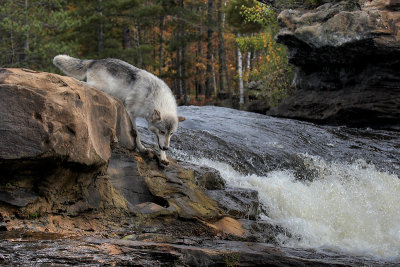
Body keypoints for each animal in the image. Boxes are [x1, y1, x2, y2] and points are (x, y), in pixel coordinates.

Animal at [53, 55, 184, 165]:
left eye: (171, 133)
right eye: (162, 131)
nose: (166, 148)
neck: (153, 96)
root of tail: (96, 61)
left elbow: (158, 142)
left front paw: (163, 157)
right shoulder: (131, 112)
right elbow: (136, 134)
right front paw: (141, 148)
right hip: (102, 87)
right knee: (81, 82)